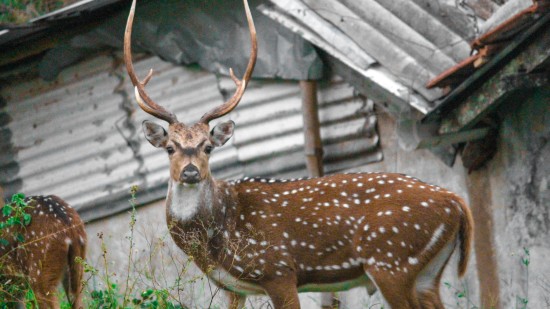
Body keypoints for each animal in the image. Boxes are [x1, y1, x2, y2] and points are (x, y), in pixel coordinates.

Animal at [124, 0, 474, 306]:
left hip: (391, 258)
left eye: (207, 147)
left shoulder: (278, 269)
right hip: (426, 272)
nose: (191, 171)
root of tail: (457, 203)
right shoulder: (231, 288)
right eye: (170, 147)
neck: (216, 237)